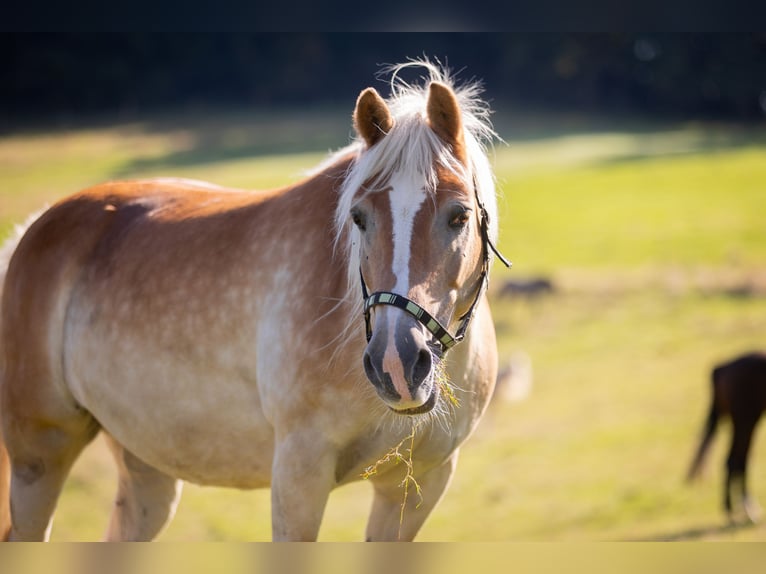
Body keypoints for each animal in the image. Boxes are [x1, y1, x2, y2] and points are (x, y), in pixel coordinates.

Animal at [0, 60, 509, 541]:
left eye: (459, 215)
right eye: (359, 218)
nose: (396, 364)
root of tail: (31, 232)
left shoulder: (416, 488)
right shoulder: (299, 477)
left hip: (146, 471)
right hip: (38, 459)